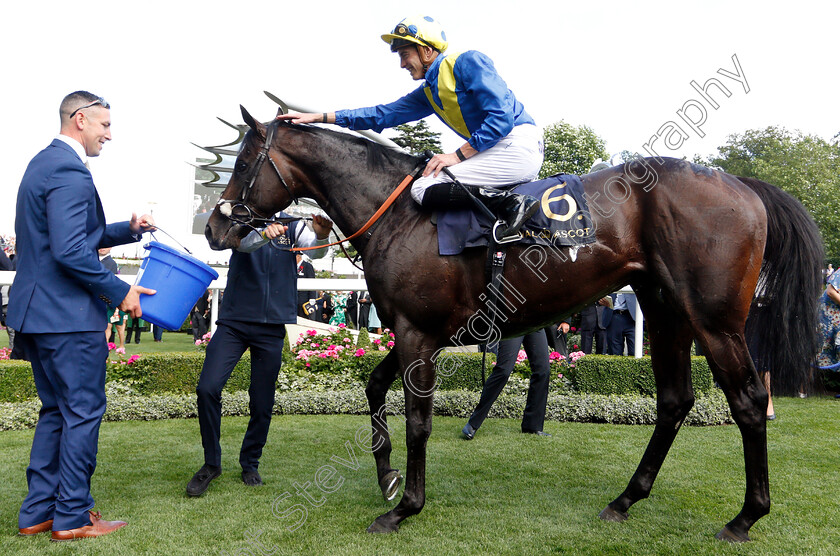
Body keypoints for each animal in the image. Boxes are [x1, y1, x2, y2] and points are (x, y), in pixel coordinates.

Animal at [203, 106, 820, 540]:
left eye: (241, 164)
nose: (214, 228)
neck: (401, 212)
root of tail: (743, 185)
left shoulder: (417, 332)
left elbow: (418, 421)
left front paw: (405, 508)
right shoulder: (414, 329)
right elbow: (374, 386)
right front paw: (387, 477)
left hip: (715, 322)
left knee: (747, 401)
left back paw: (745, 517)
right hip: (668, 315)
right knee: (673, 401)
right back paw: (625, 500)